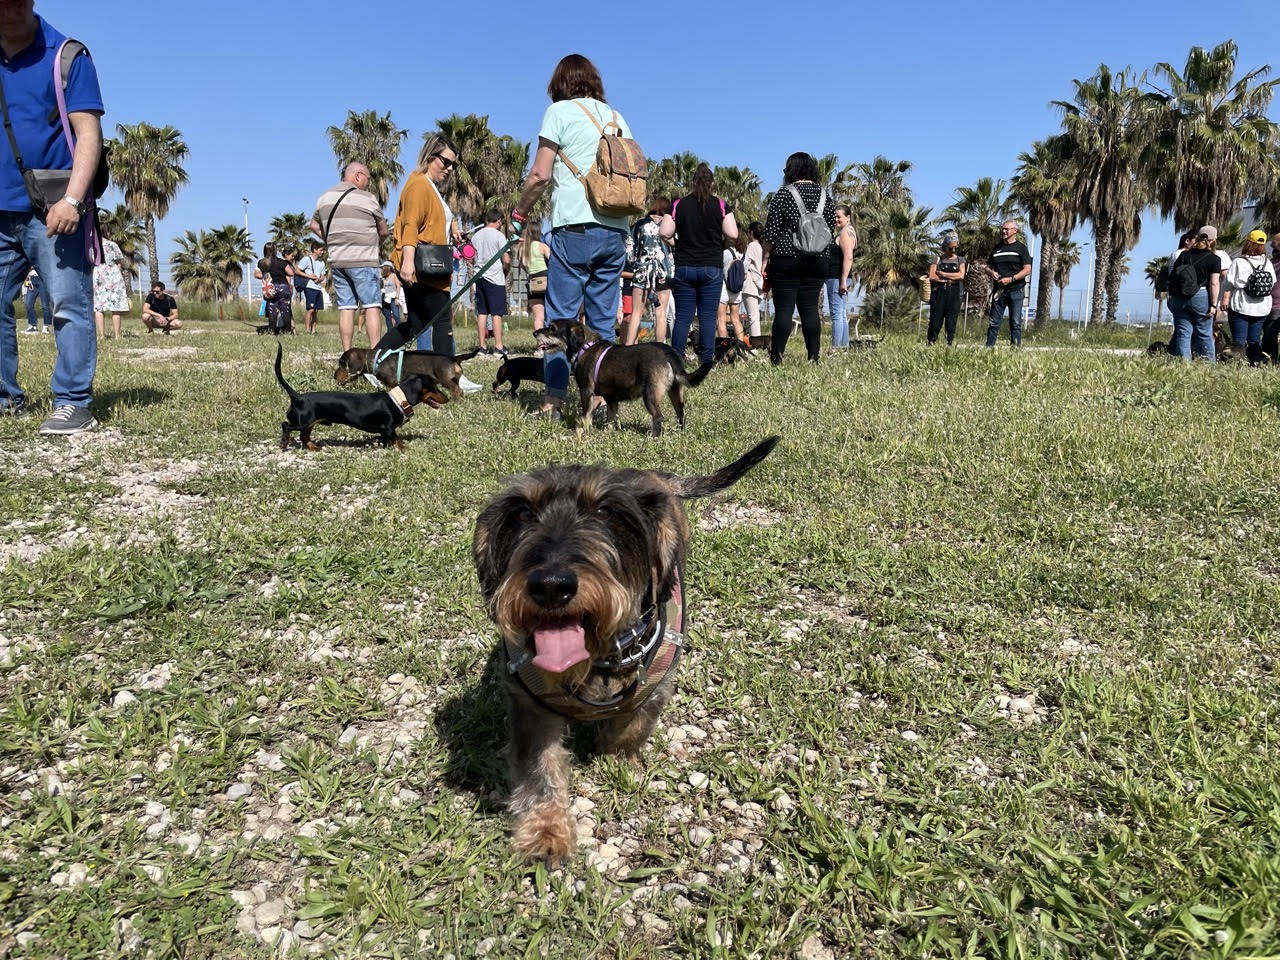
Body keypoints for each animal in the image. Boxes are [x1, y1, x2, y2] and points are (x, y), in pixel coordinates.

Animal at [275, 345, 445, 450]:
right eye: (434, 387)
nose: (448, 398)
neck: (398, 399)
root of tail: (297, 397)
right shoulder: (388, 428)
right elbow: (396, 439)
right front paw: (404, 448)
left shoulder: (385, 432)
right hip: (302, 422)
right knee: (286, 425)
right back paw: (284, 442)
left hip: (309, 423)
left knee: (304, 436)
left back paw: (313, 447)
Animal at [473, 435, 778, 865]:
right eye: (521, 513)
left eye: (607, 511)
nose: (550, 584)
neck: (598, 657)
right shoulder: (528, 707)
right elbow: (540, 768)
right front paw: (546, 832)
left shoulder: (656, 687)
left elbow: (630, 727)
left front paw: (614, 759)